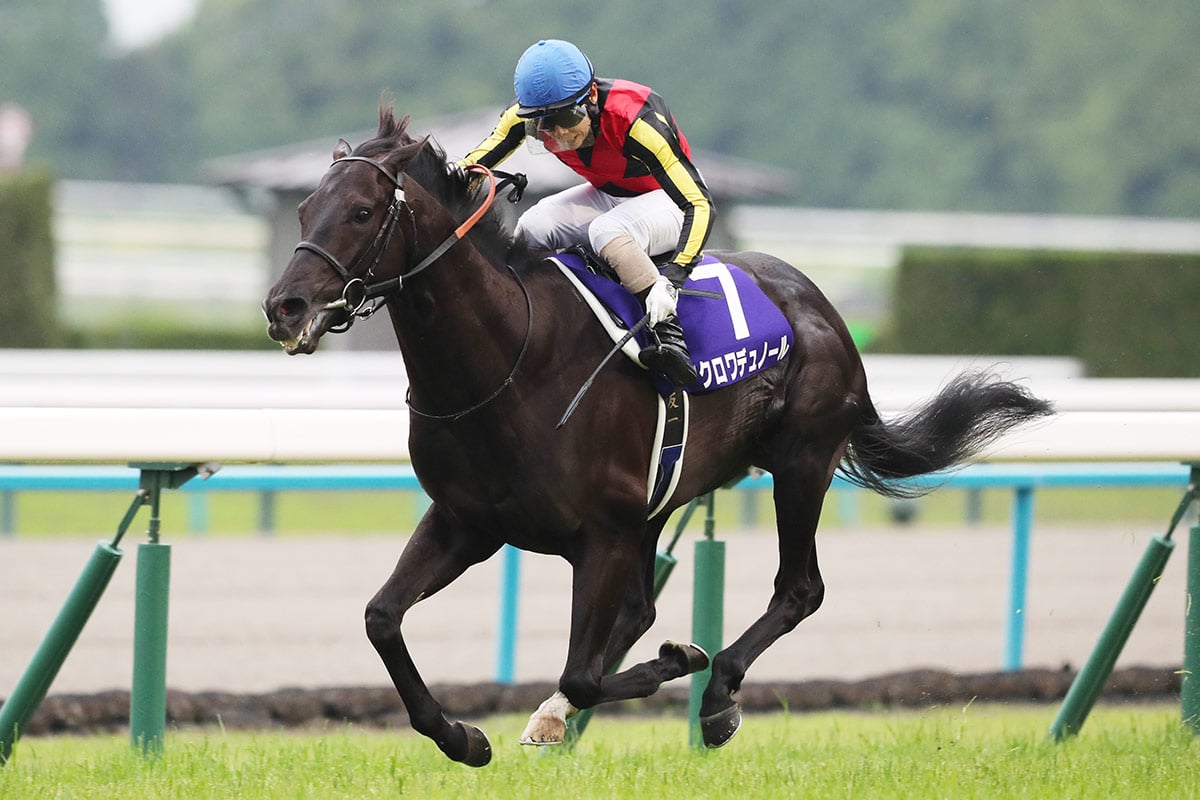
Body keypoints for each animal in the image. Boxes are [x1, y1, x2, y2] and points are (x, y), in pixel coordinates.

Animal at [262, 105, 1052, 766]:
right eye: (304, 207)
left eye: (362, 211)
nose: (284, 307)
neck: (512, 358)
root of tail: (820, 304)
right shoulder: (468, 521)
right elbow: (382, 619)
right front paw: (463, 737)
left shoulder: (601, 533)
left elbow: (584, 673)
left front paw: (678, 666)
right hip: (665, 497)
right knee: (644, 608)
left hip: (801, 461)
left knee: (799, 589)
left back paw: (717, 695)